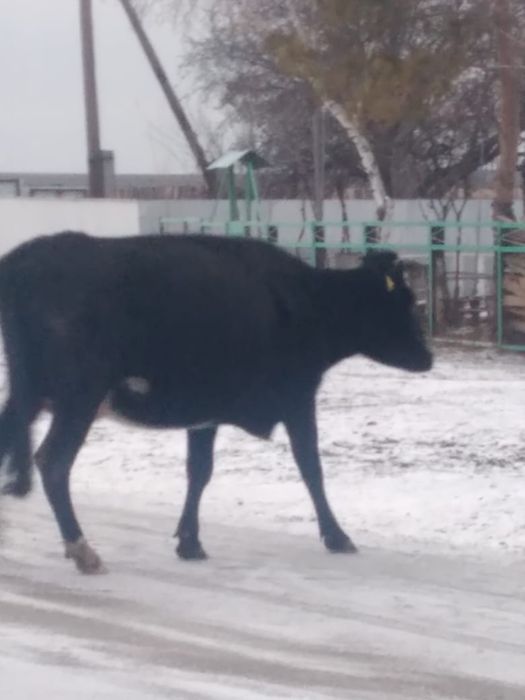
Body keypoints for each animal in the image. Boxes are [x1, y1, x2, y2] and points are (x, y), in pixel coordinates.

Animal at [0, 231, 432, 573]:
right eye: (406, 300)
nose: (428, 358)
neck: (307, 301)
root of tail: (24, 259)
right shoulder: (297, 396)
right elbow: (310, 465)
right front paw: (337, 536)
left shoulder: (205, 412)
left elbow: (199, 471)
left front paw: (189, 541)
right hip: (80, 394)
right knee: (53, 462)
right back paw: (83, 550)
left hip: (33, 392)